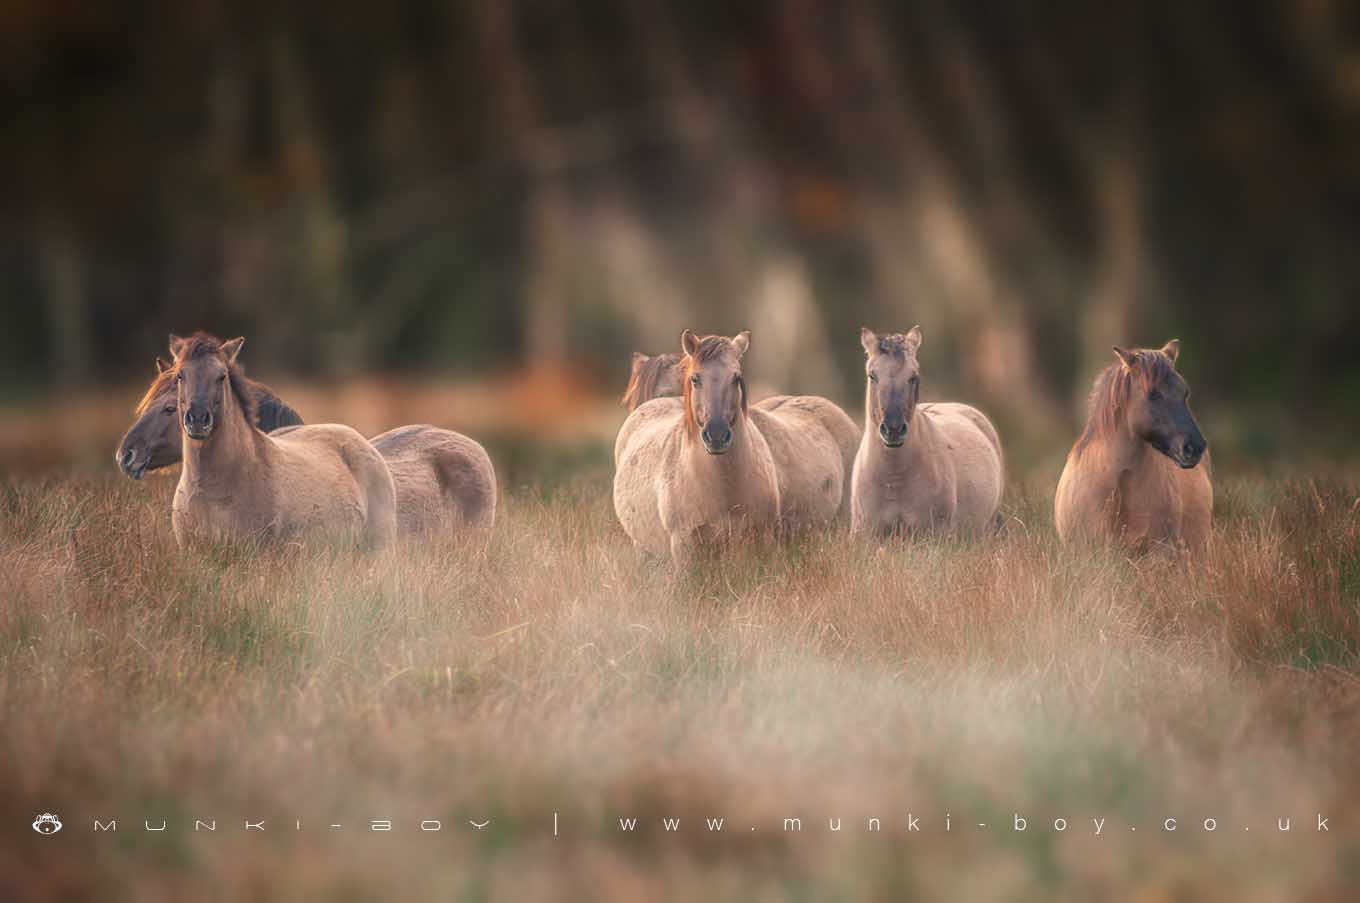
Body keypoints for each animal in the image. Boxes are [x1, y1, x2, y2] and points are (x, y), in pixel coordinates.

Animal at [614, 327, 783, 560]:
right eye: (695, 379)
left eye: (736, 378)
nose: (717, 435)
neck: (724, 487)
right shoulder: (684, 546)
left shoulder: (764, 539)